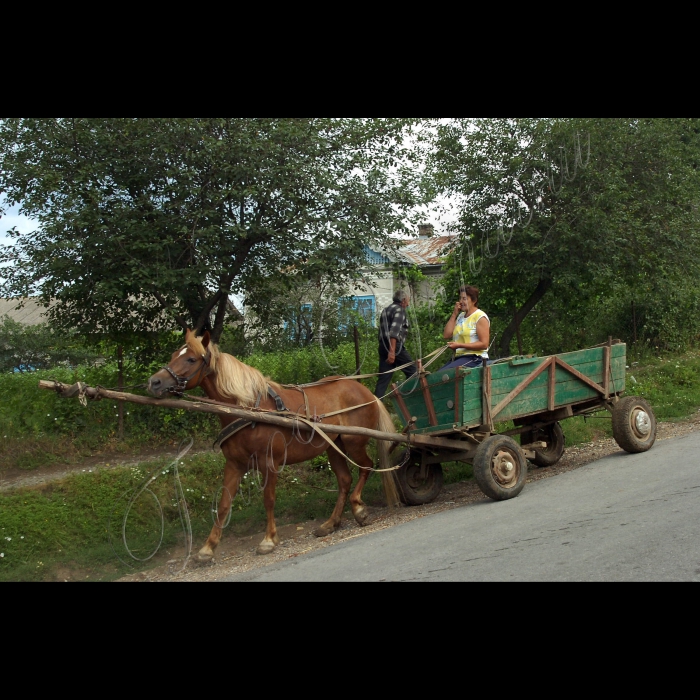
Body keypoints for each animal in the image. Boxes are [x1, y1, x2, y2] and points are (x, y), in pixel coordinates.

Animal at [148, 330, 400, 564]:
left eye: (191, 359)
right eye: (173, 355)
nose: (154, 382)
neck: (249, 408)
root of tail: (365, 391)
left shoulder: (269, 463)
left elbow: (268, 499)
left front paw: (268, 540)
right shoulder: (234, 465)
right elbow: (223, 505)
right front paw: (207, 548)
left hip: (354, 442)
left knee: (366, 467)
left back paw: (358, 508)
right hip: (333, 446)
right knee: (345, 480)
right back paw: (330, 523)